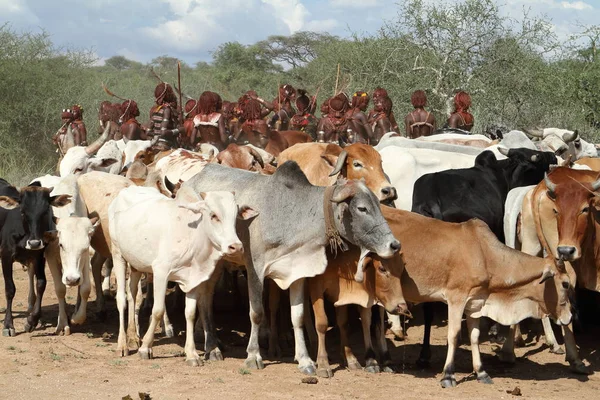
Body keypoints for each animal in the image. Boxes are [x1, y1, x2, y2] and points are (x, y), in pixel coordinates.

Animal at [110, 186, 258, 364]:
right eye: (213, 215)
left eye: (235, 216)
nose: (235, 247)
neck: (192, 236)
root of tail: (129, 189)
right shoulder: (161, 272)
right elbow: (158, 310)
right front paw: (146, 347)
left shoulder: (193, 279)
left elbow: (190, 313)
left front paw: (192, 354)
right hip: (118, 254)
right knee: (121, 299)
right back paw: (122, 345)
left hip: (135, 264)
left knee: (132, 295)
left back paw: (133, 337)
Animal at [183, 161, 398, 374]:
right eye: (362, 208)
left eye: (378, 205)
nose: (394, 245)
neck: (290, 215)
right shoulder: (255, 269)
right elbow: (257, 313)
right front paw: (253, 356)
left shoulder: (298, 273)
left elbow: (298, 316)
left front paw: (305, 360)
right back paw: (212, 347)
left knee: (206, 298)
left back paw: (212, 347)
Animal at [410, 148, 556, 368]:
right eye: (539, 158)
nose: (554, 157)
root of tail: (431, 201)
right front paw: (497, 331)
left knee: (428, 306)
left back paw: (424, 354)